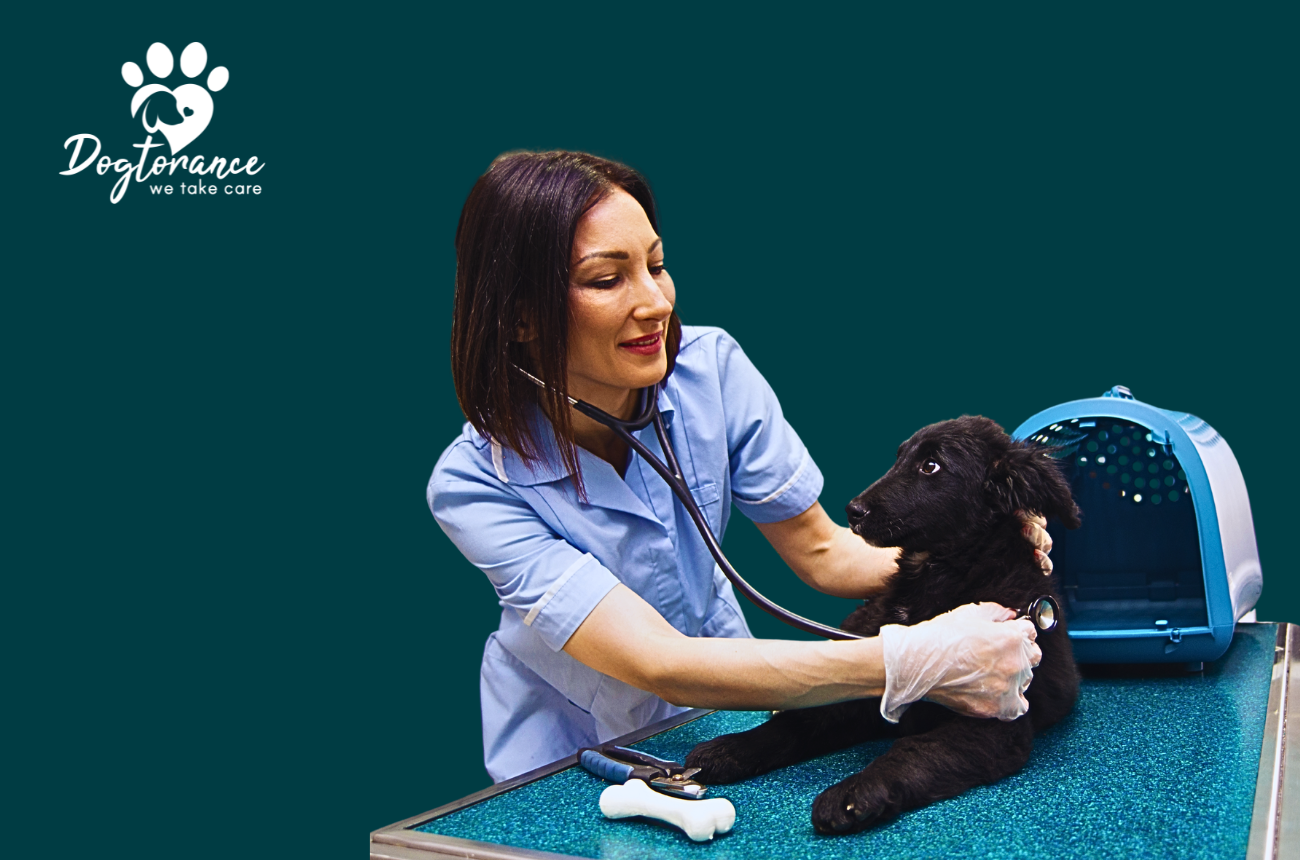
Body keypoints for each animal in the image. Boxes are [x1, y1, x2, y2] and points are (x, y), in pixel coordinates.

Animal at [685, 416, 1081, 833]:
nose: (852, 510)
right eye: (899, 457)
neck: (939, 573)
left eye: (930, 466)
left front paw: (855, 792)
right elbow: (799, 723)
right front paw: (732, 747)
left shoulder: (996, 723)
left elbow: (913, 750)